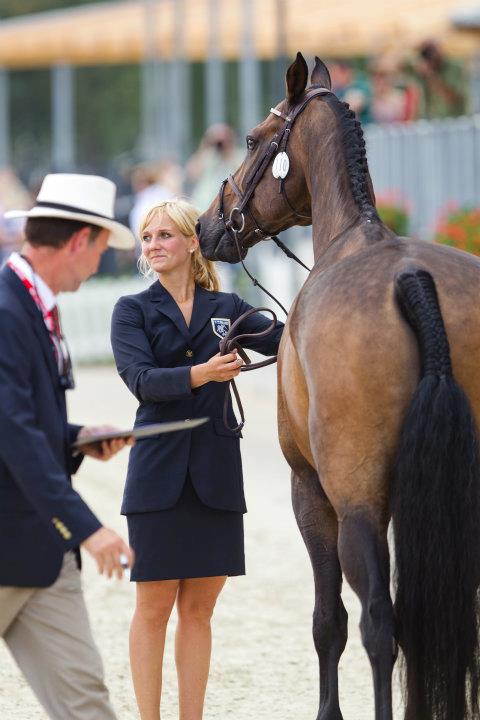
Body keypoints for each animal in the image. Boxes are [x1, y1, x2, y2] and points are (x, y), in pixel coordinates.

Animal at [197, 52, 480, 720]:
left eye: (253, 139)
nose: (205, 225)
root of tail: (414, 280)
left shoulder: (310, 492)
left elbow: (330, 622)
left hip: (355, 507)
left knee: (380, 624)